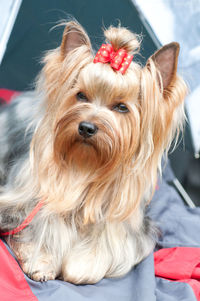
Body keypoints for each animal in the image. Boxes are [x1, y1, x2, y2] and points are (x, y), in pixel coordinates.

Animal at [0, 21, 186, 284]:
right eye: (81, 95)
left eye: (122, 107)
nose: (86, 127)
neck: (86, 166)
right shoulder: (24, 202)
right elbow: (37, 225)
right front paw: (42, 261)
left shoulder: (123, 225)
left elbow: (100, 252)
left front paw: (82, 265)